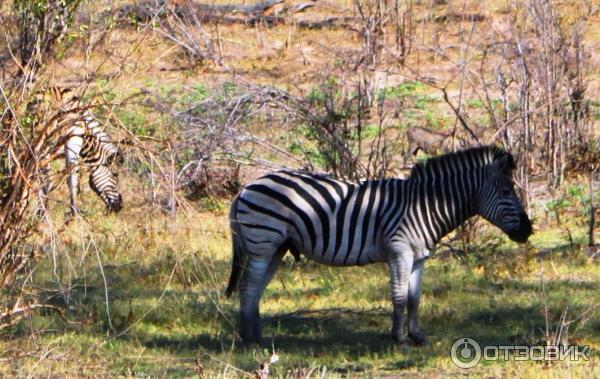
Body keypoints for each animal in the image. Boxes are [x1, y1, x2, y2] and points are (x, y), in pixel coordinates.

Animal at [34, 87, 123, 217]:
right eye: (115, 176)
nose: (120, 207)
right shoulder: (72, 141)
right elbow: (64, 178)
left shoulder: (66, 148)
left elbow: (69, 178)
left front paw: (73, 210)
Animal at [224, 147, 528, 346]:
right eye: (506, 191)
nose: (528, 230)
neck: (425, 205)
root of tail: (247, 187)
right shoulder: (399, 251)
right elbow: (400, 297)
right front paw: (399, 338)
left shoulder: (418, 257)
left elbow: (415, 298)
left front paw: (417, 336)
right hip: (264, 241)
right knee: (248, 286)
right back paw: (248, 339)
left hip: (276, 247)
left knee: (256, 288)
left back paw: (258, 336)